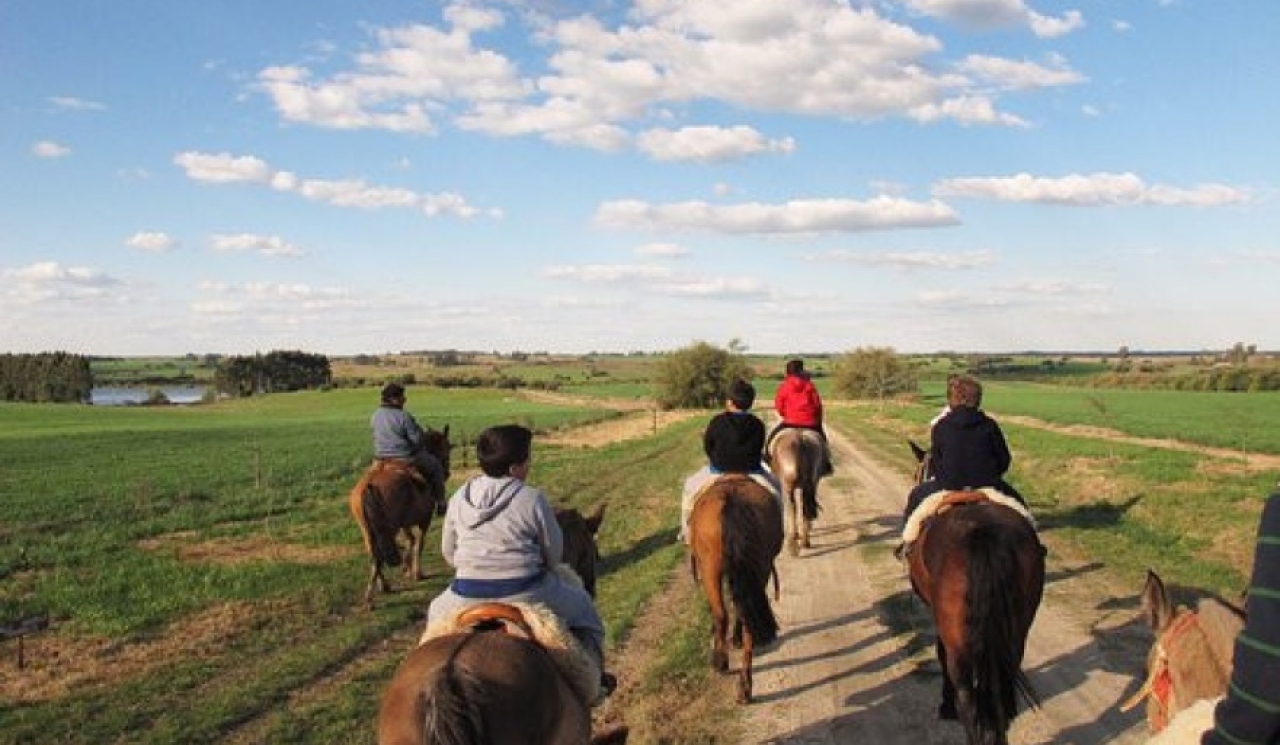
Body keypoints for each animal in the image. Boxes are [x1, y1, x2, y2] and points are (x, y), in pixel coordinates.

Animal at [348, 427, 453, 606]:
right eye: (446, 447)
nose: (446, 473)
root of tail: (370, 484)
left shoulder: (405, 523)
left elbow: (410, 540)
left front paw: (406, 567)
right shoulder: (424, 520)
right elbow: (419, 543)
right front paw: (416, 573)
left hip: (368, 530)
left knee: (374, 555)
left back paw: (383, 586)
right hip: (389, 528)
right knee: (379, 557)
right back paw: (371, 596)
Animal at [686, 476, 783, 701]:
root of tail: (732, 501)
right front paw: (736, 639)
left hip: (709, 569)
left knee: (721, 615)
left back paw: (720, 662)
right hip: (758, 569)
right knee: (746, 620)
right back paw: (745, 687)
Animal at [762, 430, 824, 558]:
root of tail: (801, 440)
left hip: (788, 485)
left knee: (792, 507)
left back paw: (793, 542)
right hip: (811, 482)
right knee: (804, 506)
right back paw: (805, 541)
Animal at [906, 442, 1044, 742]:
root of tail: (982, 534)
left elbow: (939, 653)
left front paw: (944, 705)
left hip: (958, 641)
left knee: (966, 698)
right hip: (1017, 629)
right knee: (1003, 679)